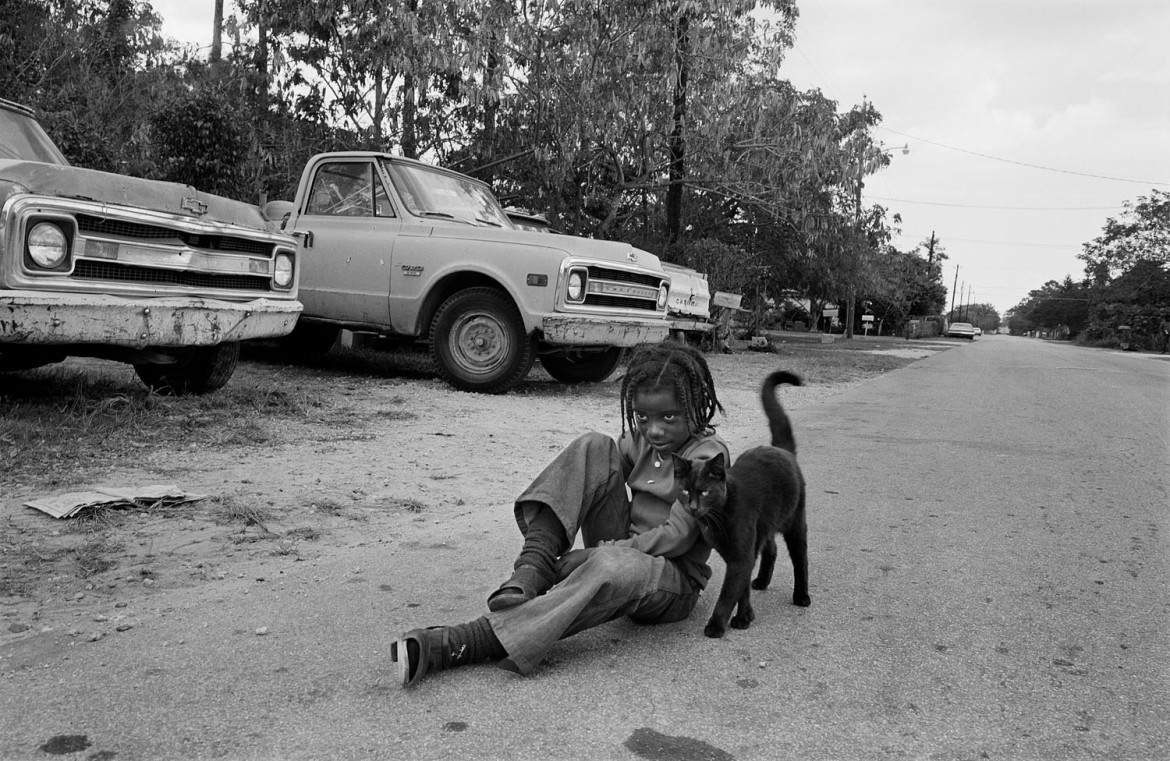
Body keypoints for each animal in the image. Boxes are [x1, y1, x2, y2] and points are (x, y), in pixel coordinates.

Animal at [673, 367, 809, 632]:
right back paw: (762, 581)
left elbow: (728, 593)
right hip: (764, 524)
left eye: (704, 492)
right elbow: (741, 588)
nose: (693, 507)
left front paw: (716, 626)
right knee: (771, 548)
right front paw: (745, 617)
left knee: (800, 558)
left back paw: (802, 596)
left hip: (795, 522)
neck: (718, 516)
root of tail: (781, 449)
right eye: (685, 491)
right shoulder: (741, 553)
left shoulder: (740, 556)